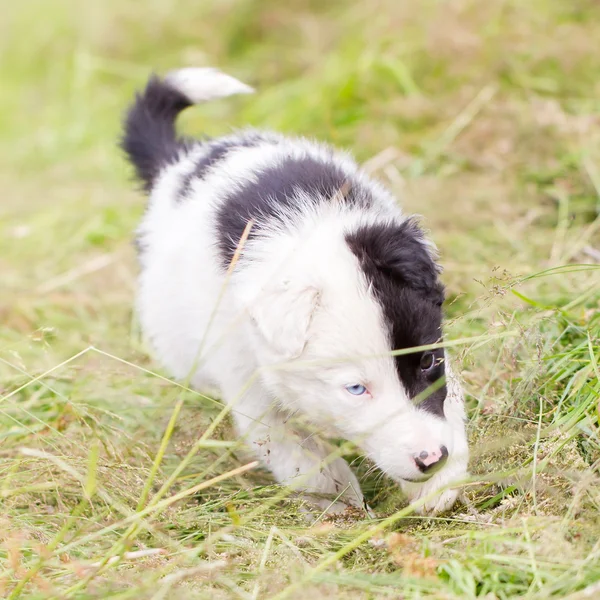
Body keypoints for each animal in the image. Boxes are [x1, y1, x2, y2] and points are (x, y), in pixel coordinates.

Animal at [120, 67, 468, 516]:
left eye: (426, 361)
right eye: (356, 389)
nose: (431, 459)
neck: (307, 235)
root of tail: (183, 160)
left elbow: (449, 403)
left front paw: (439, 485)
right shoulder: (247, 375)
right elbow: (297, 452)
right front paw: (340, 499)